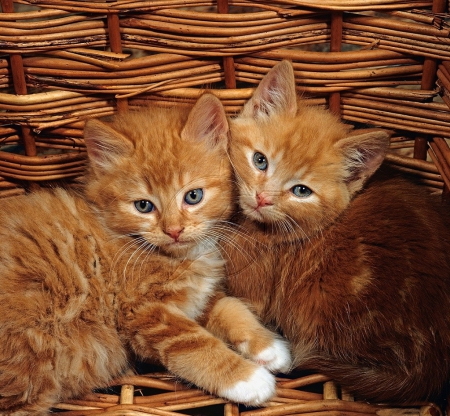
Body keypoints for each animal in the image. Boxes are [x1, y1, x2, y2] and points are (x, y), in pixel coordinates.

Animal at [0, 94, 292, 416]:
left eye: (193, 196)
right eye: (143, 206)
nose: (173, 230)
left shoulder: (198, 299)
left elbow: (230, 306)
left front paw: (270, 348)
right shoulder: (144, 312)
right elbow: (193, 343)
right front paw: (249, 380)